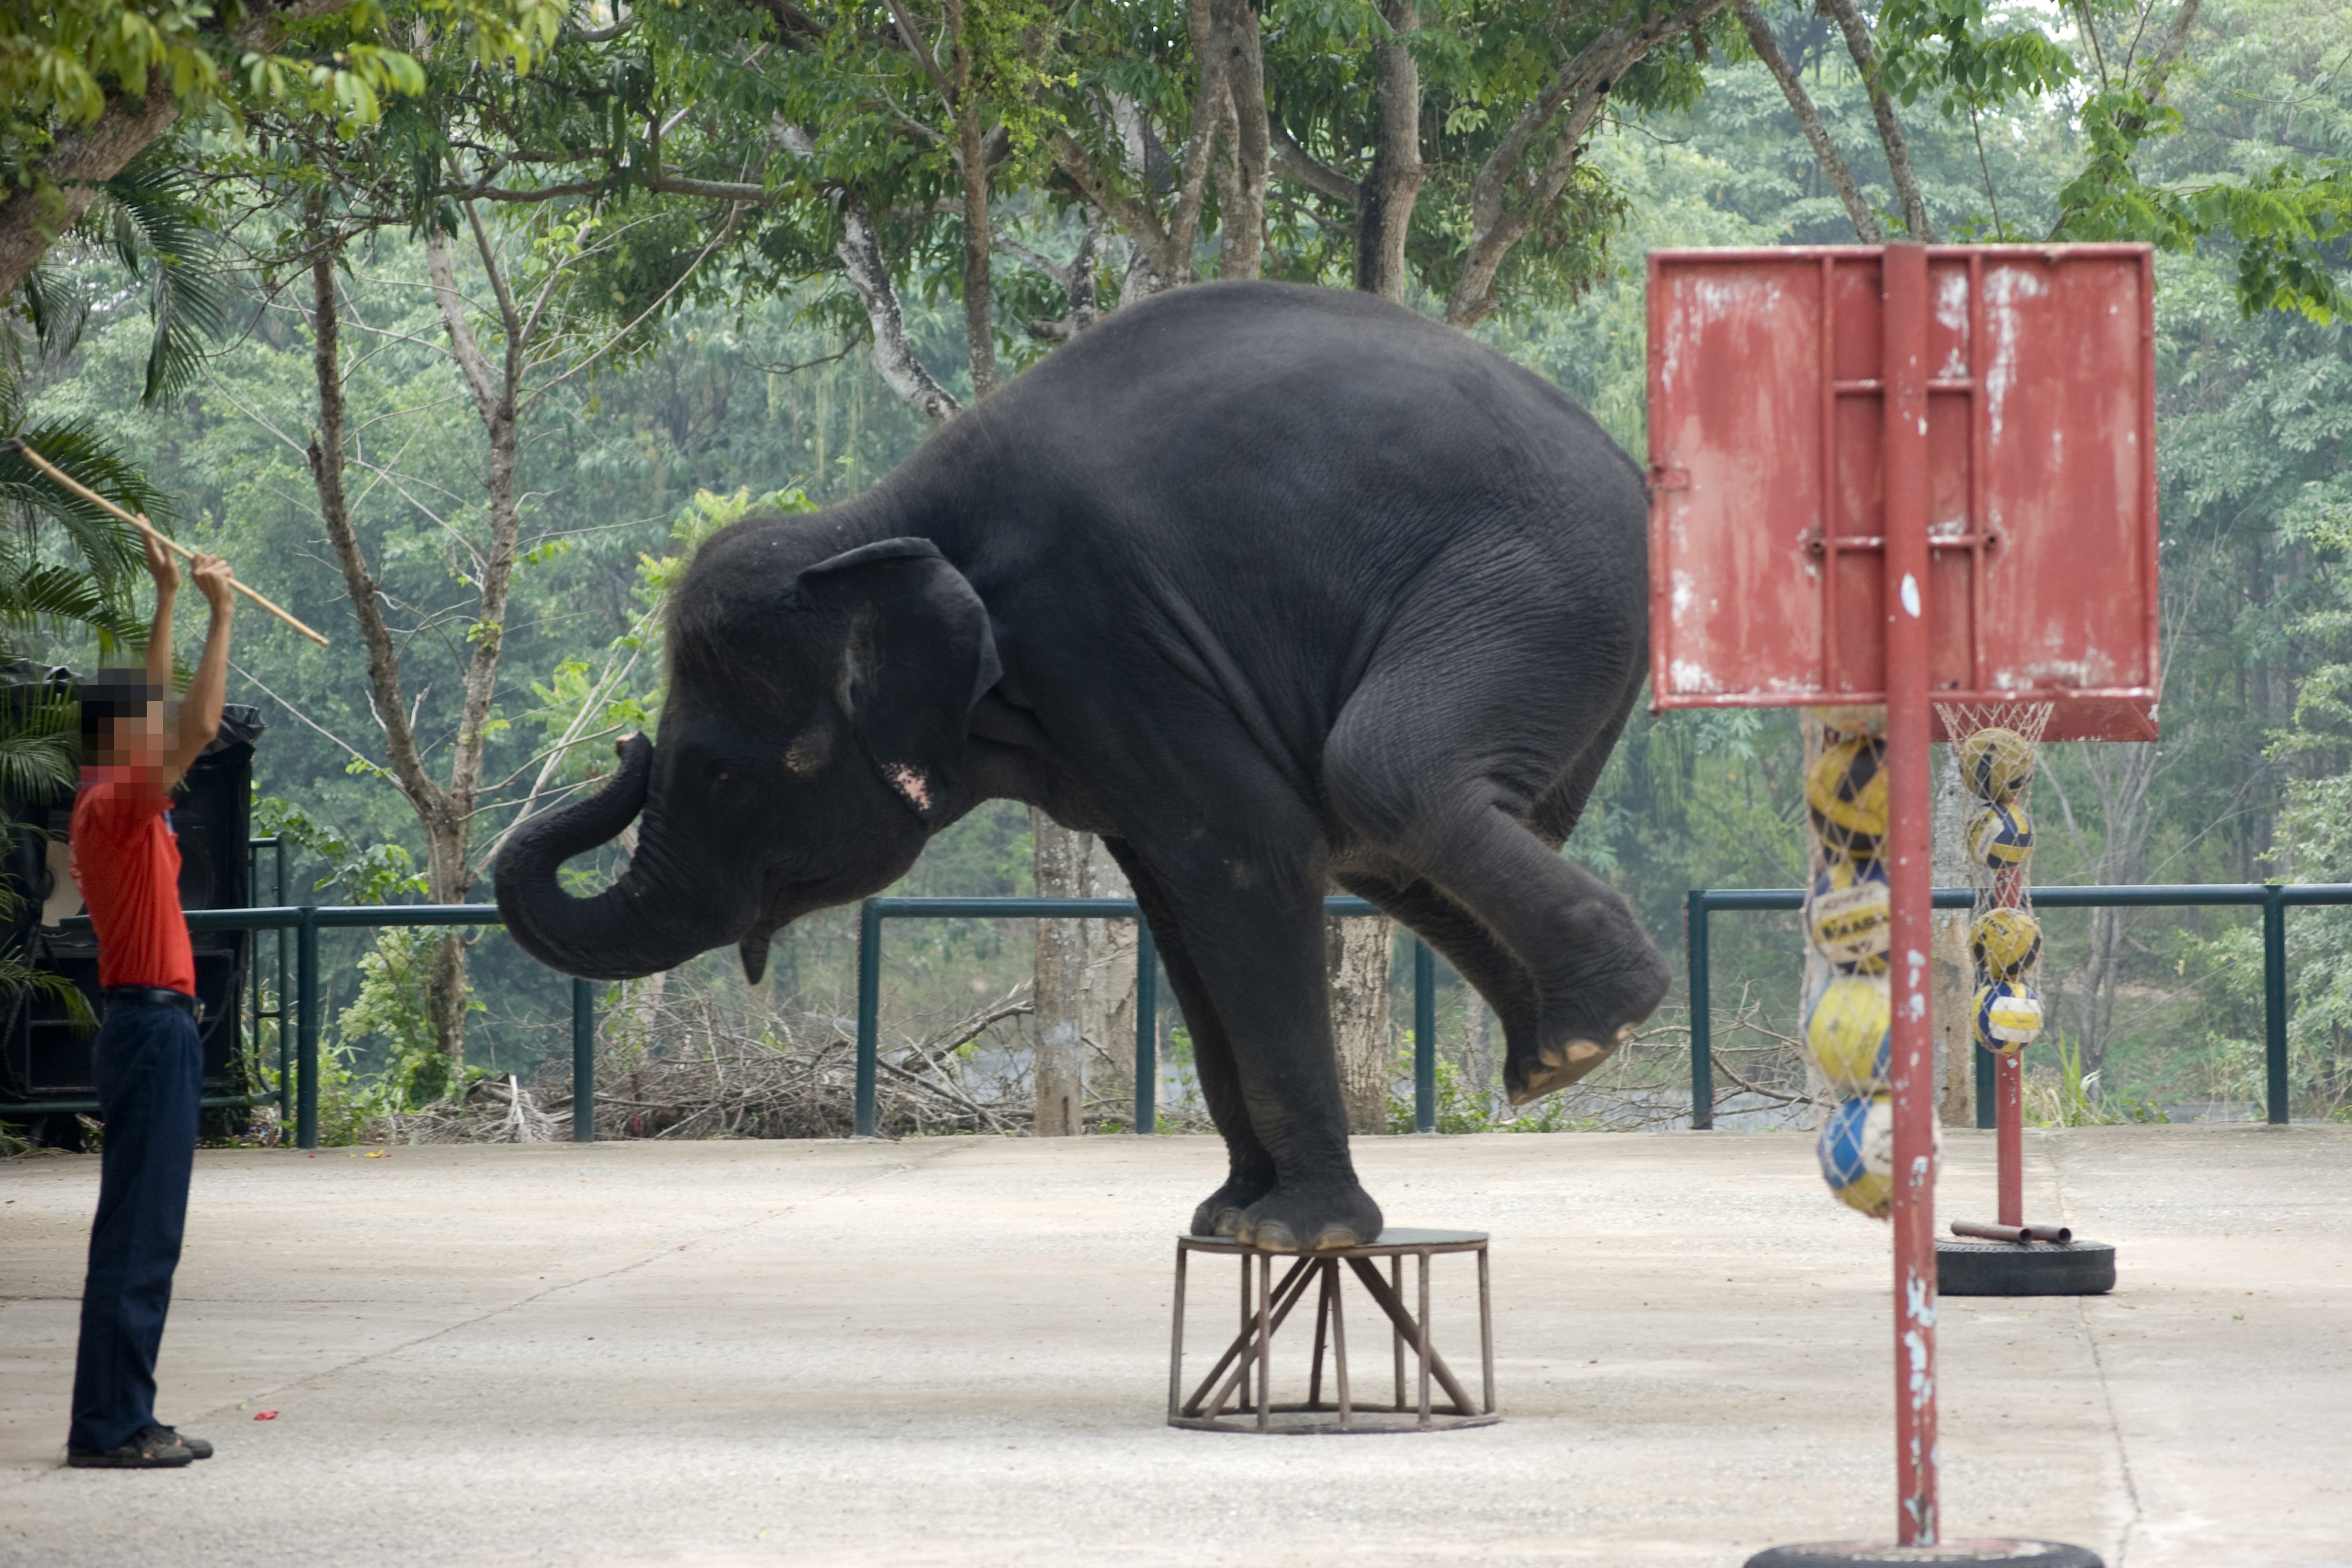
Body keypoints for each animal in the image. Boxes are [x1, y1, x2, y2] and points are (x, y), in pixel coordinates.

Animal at [496, 279, 1674, 1250]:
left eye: (719, 774)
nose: (621, 742)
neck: (877, 523)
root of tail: (1633, 469)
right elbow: (1180, 902)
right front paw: (1225, 1218)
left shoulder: (1108, 630)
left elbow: (1244, 857)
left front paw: (1295, 1236)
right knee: (1380, 838)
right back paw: (1553, 1055)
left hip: (1536, 585)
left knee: (1379, 773)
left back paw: (1598, 1028)